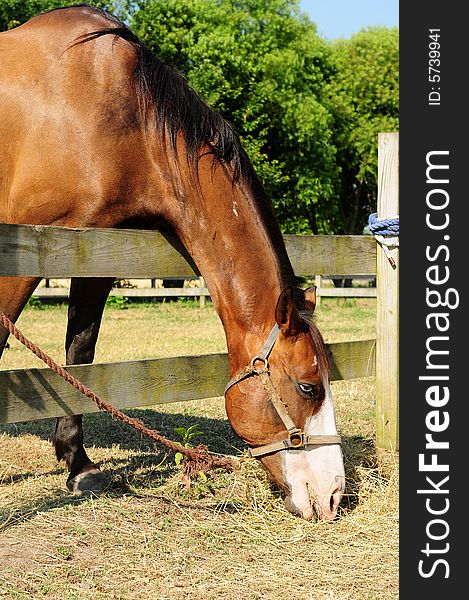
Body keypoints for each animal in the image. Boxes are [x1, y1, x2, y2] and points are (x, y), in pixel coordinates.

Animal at [0, 4, 344, 520]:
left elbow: (80, 356)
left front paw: (79, 465)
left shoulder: (97, 254)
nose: (334, 494)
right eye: (308, 387)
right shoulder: (22, 248)